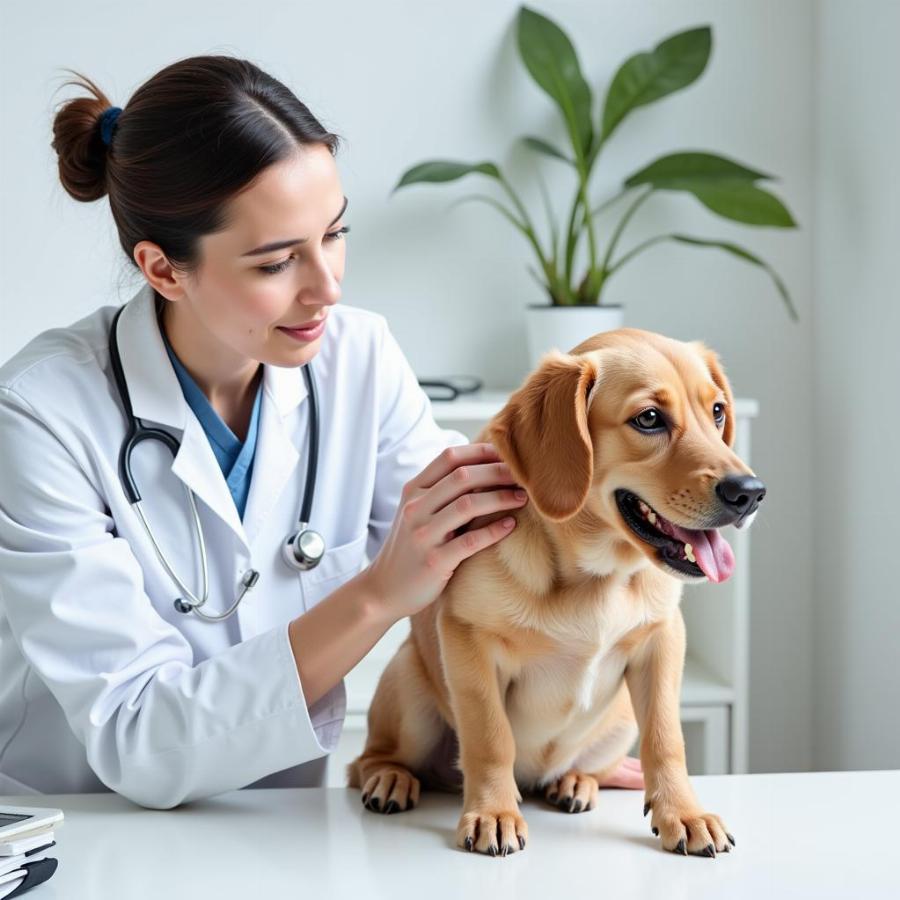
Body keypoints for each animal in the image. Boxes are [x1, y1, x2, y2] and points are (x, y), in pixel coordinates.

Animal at [348, 328, 764, 856]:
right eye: (649, 418)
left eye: (717, 411)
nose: (750, 493)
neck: (596, 576)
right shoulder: (467, 639)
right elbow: (490, 739)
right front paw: (494, 813)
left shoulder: (662, 640)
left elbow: (667, 740)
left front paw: (684, 814)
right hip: (408, 689)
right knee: (366, 760)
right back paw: (391, 779)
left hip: (619, 722)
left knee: (593, 766)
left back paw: (574, 782)